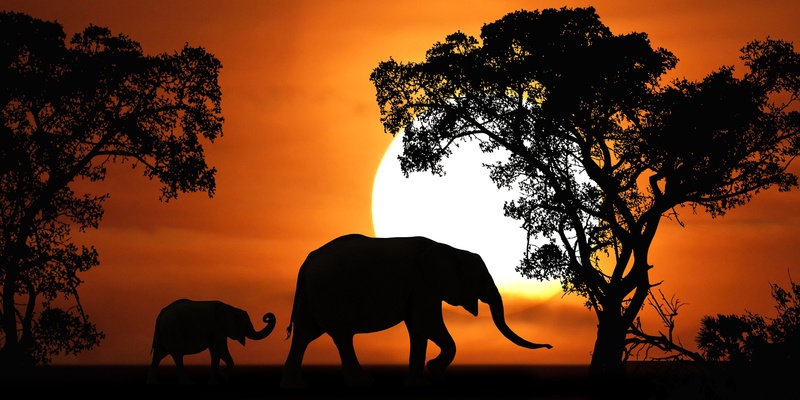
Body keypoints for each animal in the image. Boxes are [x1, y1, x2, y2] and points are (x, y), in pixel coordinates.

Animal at [146, 299, 276, 385]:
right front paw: (223, 377)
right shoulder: (217, 328)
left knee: (159, 354)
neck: (231, 307)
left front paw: (215, 382)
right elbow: (219, 349)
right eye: (246, 325)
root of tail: (161, 314)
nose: (266, 317)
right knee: (177, 355)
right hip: (172, 330)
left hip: (164, 332)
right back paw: (187, 383)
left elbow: (215, 353)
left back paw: (154, 383)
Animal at [280, 234, 552, 389]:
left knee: (305, 335)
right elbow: (426, 323)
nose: (549, 347)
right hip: (331, 293)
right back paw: (362, 384)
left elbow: (419, 331)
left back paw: (294, 386)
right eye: (481, 279)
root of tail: (306, 263)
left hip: (313, 296)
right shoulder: (422, 283)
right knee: (341, 336)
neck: (449, 248)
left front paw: (418, 384)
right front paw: (436, 373)